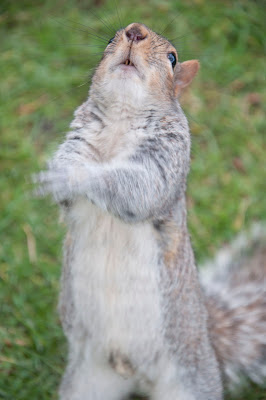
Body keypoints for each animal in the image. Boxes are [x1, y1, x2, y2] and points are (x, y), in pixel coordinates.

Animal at [35, 22, 266, 400]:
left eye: (172, 58)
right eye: (110, 40)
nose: (135, 30)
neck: (121, 119)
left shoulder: (166, 158)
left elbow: (139, 189)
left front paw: (75, 176)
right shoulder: (79, 137)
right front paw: (58, 169)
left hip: (187, 382)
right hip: (87, 381)